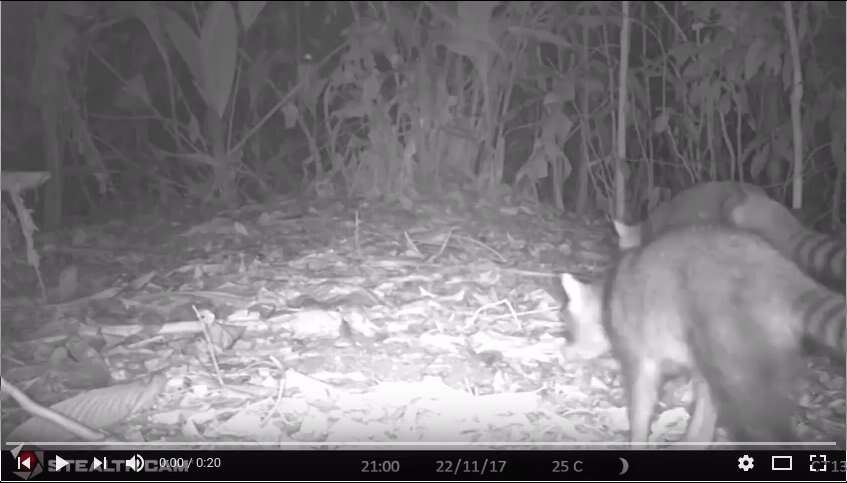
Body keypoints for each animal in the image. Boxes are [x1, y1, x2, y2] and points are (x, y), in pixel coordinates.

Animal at [560, 225, 844, 444]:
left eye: (569, 326)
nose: (567, 348)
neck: (606, 293)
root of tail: (782, 269)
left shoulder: (637, 340)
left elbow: (642, 393)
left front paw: (637, 437)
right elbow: (703, 402)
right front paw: (694, 435)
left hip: (731, 331)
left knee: (751, 402)